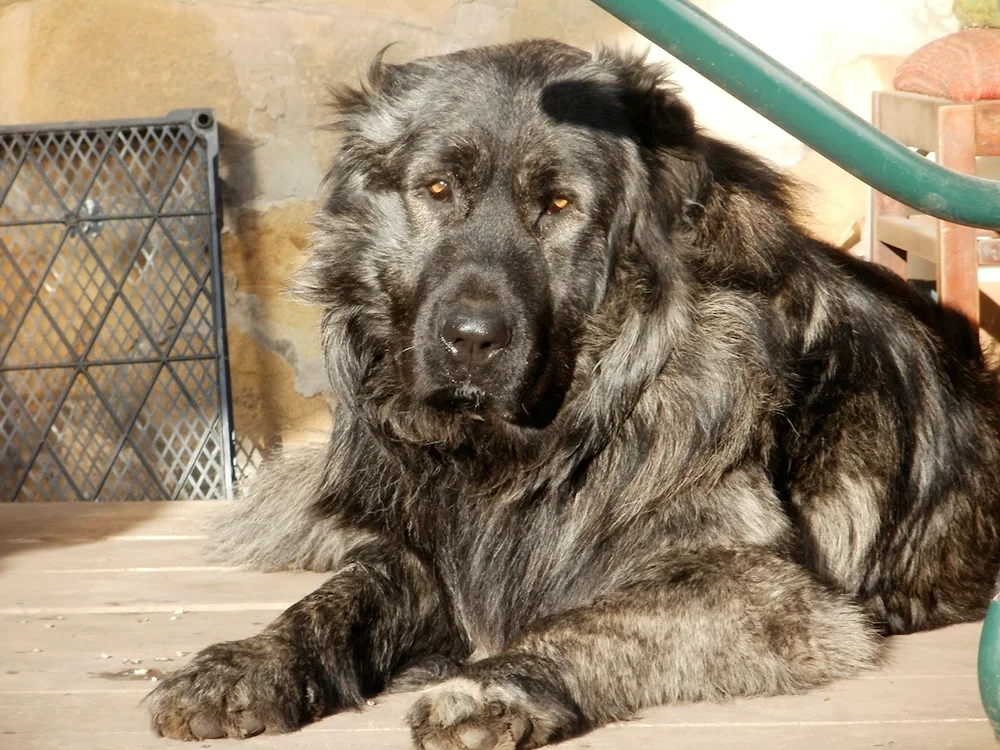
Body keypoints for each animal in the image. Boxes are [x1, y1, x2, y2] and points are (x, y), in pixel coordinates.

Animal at [145, 42, 1000, 750]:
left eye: (558, 206)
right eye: (438, 188)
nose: (471, 339)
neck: (536, 449)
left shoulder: (763, 589)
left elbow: (590, 620)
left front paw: (494, 688)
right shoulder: (423, 553)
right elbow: (337, 599)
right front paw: (245, 662)